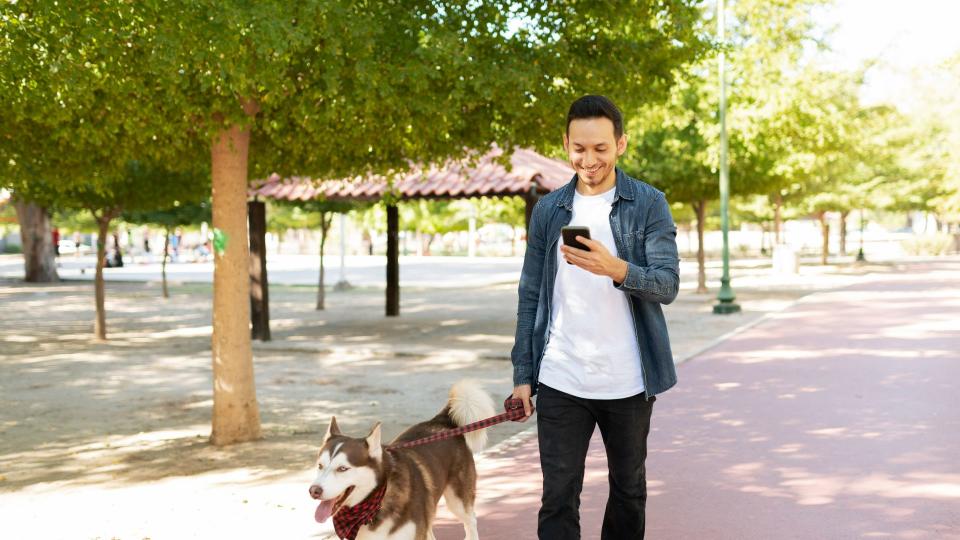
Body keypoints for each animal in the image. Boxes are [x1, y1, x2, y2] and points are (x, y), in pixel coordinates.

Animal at [312, 380, 498, 540]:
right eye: (320, 466)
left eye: (342, 468)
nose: (313, 491)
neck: (377, 501)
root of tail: (441, 421)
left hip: (457, 500)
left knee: (471, 521)